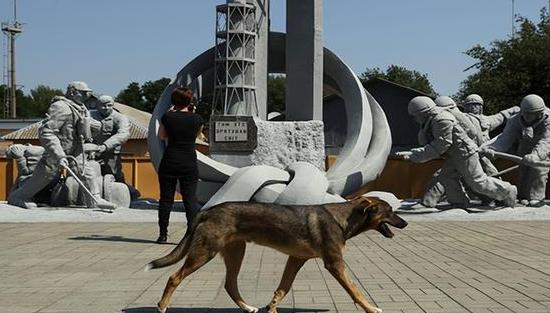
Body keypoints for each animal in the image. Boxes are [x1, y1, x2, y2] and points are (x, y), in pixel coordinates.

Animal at [148, 196, 410, 310]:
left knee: (230, 285)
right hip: (205, 252)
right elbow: (356, 290)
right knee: (174, 277)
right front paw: (372, 308)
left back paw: (248, 307)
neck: (342, 218)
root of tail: (207, 210)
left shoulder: (296, 259)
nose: (406, 223)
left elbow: (282, 289)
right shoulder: (335, 264)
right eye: (390, 211)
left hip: (235, 253)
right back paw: (161, 306)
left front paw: (272, 307)